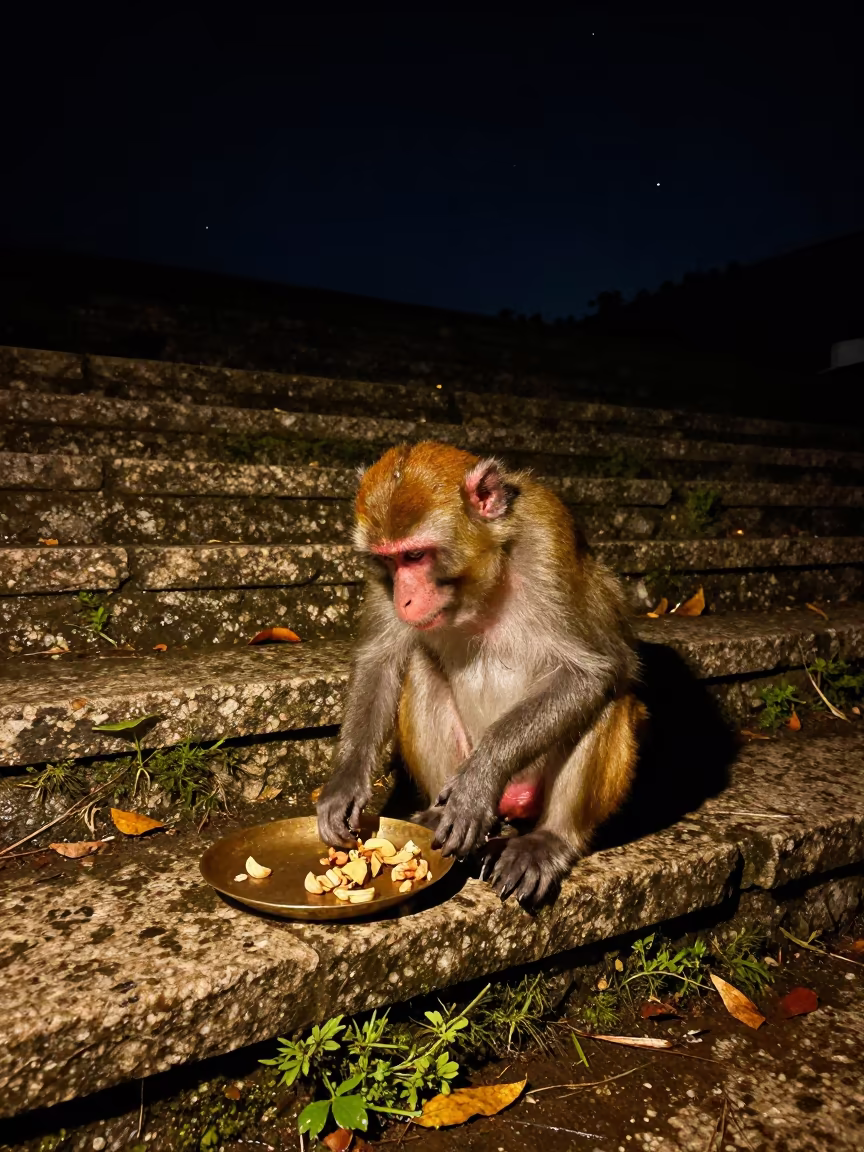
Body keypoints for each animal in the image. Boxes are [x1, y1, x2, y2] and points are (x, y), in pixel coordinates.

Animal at [316, 441, 643, 907]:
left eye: (415, 555)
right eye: (388, 561)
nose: (404, 600)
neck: (481, 579)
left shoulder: (548, 541)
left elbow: (588, 671)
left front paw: (479, 779)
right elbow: (381, 658)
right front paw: (344, 785)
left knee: (607, 697)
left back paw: (548, 839)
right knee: (419, 668)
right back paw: (436, 817)